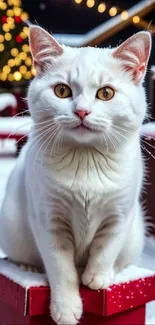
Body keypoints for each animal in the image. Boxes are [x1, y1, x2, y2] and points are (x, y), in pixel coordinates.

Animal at [0, 26, 151, 322]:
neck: (86, 161)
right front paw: (66, 307)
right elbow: (62, 268)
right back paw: (29, 268)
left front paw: (97, 277)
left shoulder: (120, 214)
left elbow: (106, 248)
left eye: (106, 93)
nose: (81, 111)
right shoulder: (48, 220)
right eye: (62, 90)